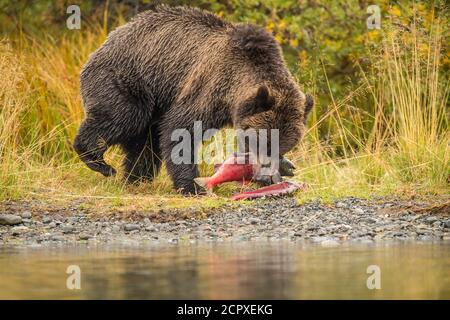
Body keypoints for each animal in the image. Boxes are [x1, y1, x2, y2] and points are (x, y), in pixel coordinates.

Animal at [74, 6, 312, 194]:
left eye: (283, 146)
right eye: (263, 141)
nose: (266, 174)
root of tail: (102, 45)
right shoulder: (209, 87)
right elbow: (181, 129)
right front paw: (192, 186)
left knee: (145, 144)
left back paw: (136, 177)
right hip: (129, 80)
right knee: (123, 117)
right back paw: (98, 160)